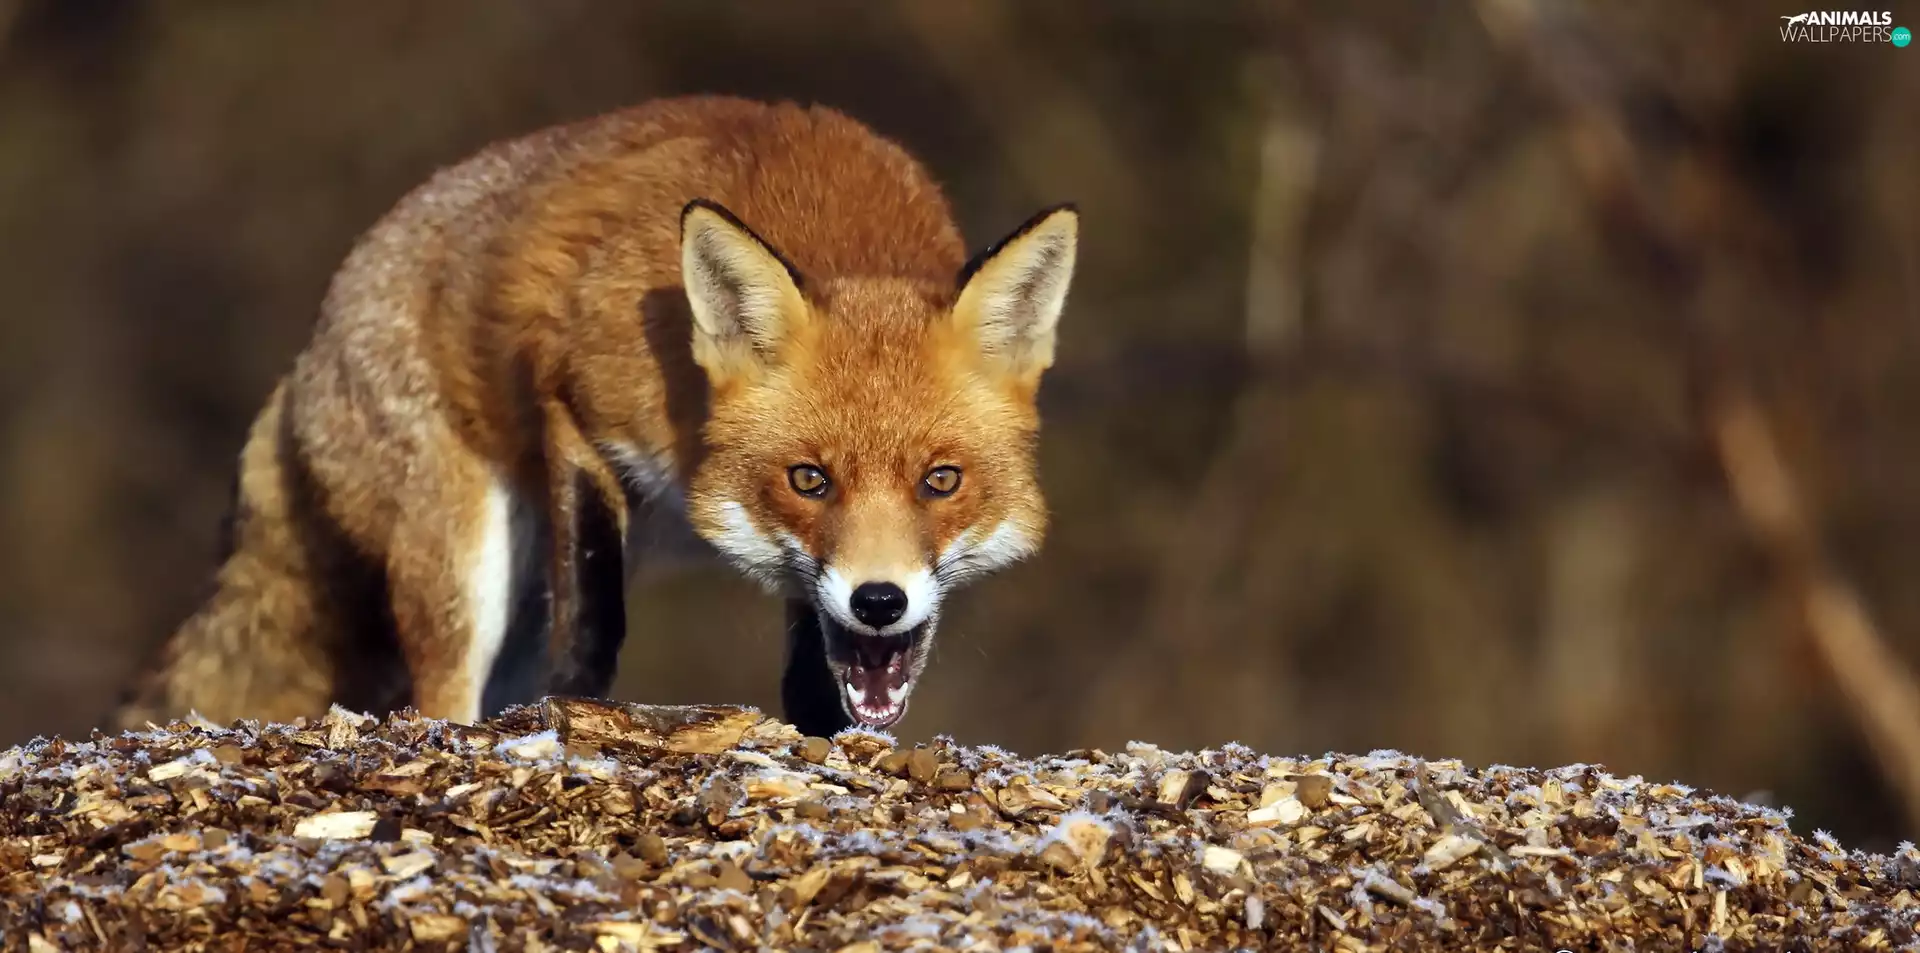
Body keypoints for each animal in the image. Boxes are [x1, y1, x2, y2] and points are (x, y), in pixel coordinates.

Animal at [107, 95, 1078, 738]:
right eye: (809, 479)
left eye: (941, 480)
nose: (881, 601)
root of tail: (306, 355)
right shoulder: (577, 406)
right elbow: (594, 621)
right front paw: (579, 711)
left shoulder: (813, 595)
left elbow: (814, 665)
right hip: (464, 566)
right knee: (434, 698)